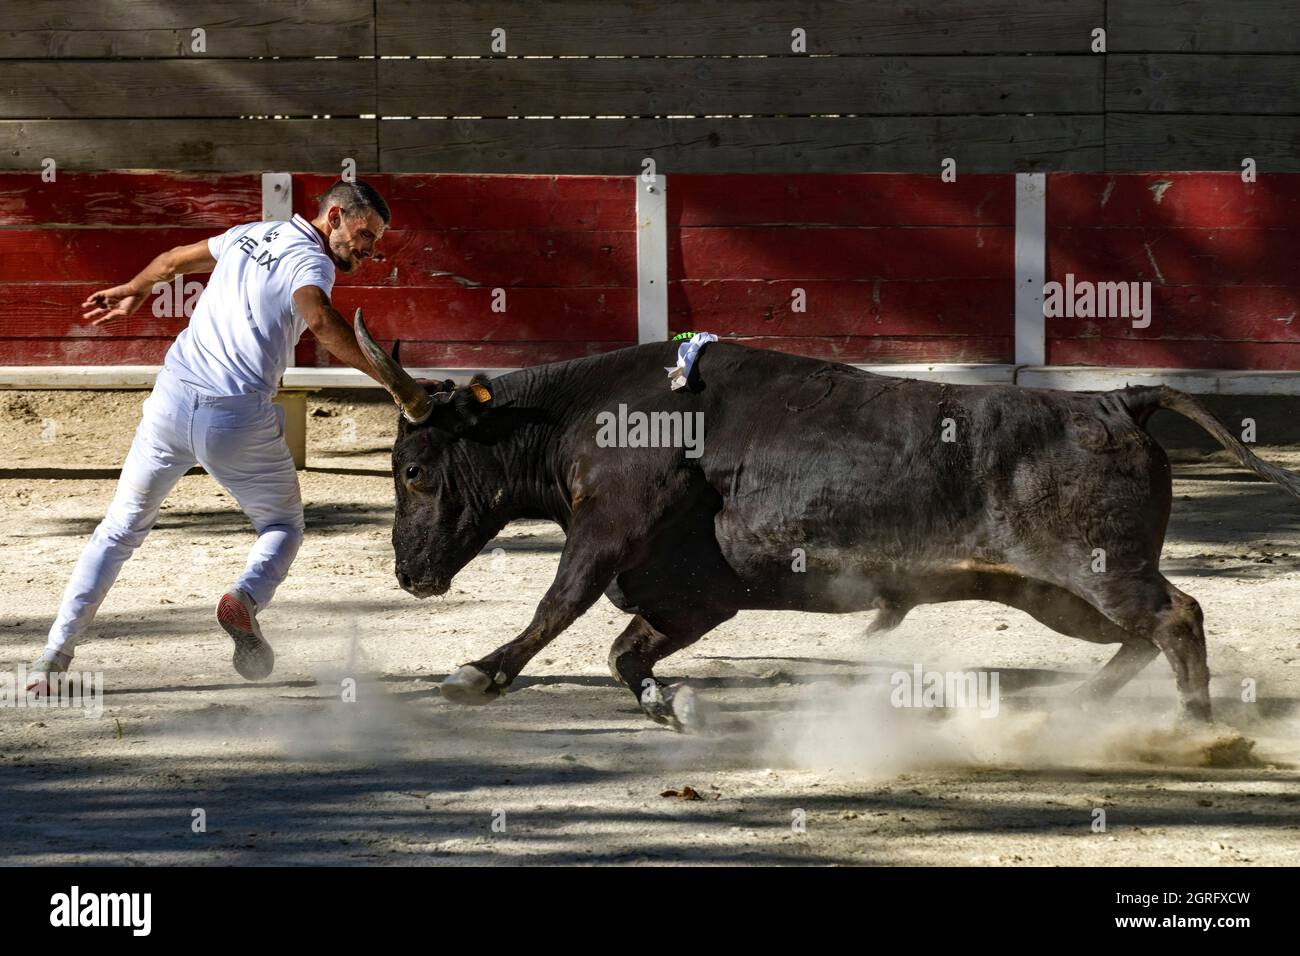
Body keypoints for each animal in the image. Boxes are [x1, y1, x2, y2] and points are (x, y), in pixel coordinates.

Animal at [353, 316, 1300, 733]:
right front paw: (672, 706)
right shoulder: (696, 594)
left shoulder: (609, 529)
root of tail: (1115, 398)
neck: (579, 414)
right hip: (1058, 594)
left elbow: (558, 605)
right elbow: (628, 649)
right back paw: (1072, 709)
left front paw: (474, 674)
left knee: (1177, 616)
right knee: (1144, 632)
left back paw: (1195, 728)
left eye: (413, 470)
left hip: (1099, 568)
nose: (408, 575)